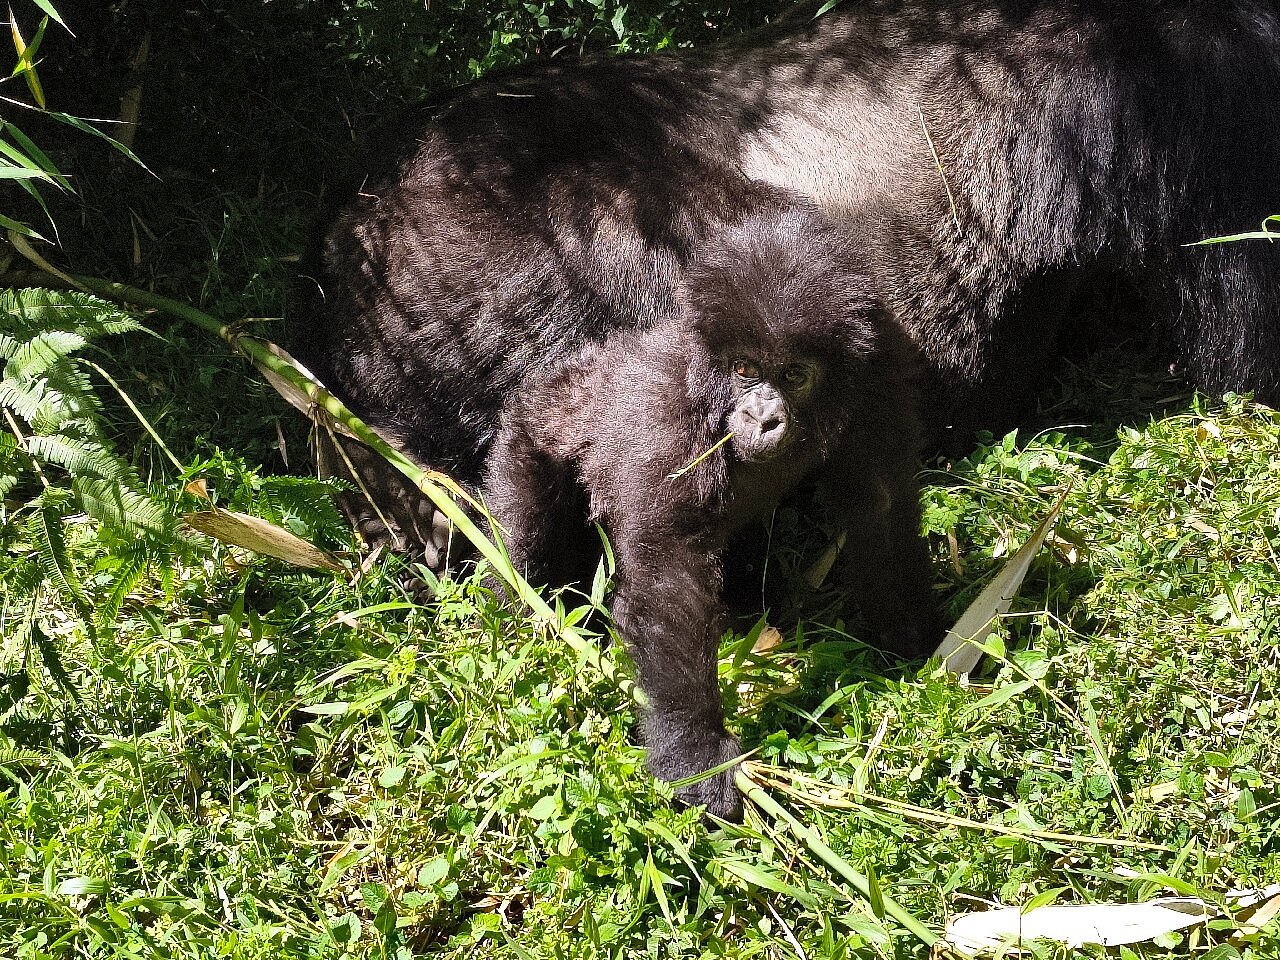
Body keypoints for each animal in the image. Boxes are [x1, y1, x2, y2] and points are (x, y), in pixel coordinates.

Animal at [481, 201, 939, 820]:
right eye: (744, 370)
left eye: (794, 375)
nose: (763, 418)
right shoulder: (671, 410)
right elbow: (668, 580)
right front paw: (696, 751)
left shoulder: (878, 366)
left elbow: (883, 501)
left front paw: (914, 630)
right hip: (523, 439)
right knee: (520, 538)